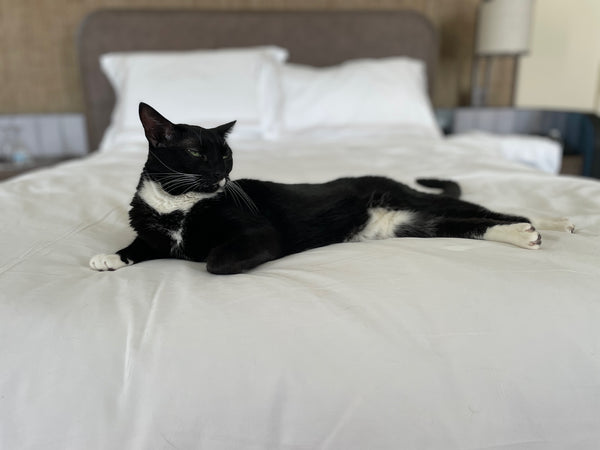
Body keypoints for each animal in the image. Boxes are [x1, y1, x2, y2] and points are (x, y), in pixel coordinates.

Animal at [88, 103, 572, 274]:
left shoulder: (257, 232)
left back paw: (551, 224)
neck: (177, 206)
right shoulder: (152, 232)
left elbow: (214, 261)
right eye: (194, 152)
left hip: (411, 200)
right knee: (475, 220)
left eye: (225, 155)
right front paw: (108, 257)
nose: (221, 176)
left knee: (493, 208)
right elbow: (140, 246)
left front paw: (214, 257)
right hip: (413, 224)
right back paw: (531, 232)